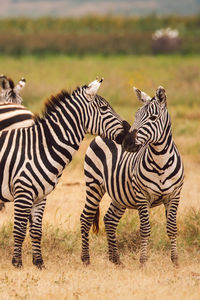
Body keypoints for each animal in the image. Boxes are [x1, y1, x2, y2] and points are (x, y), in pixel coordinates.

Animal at [0, 77, 130, 270]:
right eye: (104, 108)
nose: (130, 132)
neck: (40, 148)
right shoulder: (23, 191)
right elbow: (20, 229)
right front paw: (17, 263)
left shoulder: (40, 196)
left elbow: (36, 230)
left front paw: (39, 263)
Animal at [80, 86, 184, 268]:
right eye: (136, 115)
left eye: (153, 117)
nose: (126, 143)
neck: (161, 162)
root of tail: (102, 135)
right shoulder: (142, 196)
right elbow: (145, 229)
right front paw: (143, 262)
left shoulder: (174, 195)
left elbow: (172, 228)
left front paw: (175, 262)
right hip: (94, 184)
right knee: (86, 218)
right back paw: (86, 259)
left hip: (120, 195)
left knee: (110, 220)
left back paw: (116, 260)